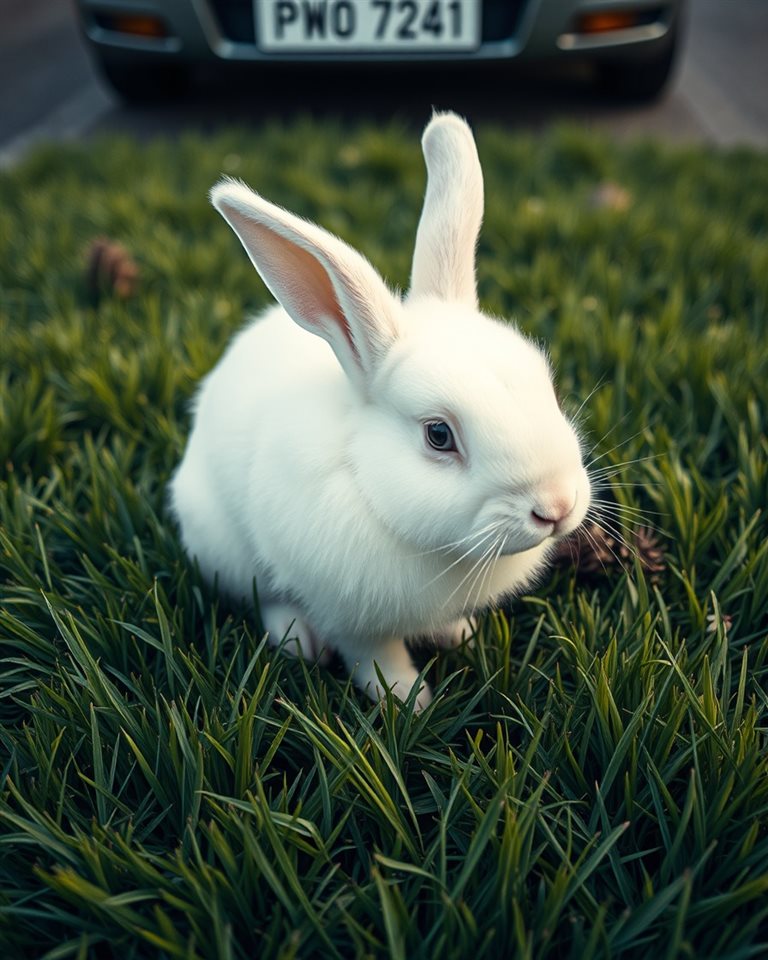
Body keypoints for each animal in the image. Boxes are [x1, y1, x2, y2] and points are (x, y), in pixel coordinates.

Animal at [169, 111, 591, 710]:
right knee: (261, 595)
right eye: (439, 435)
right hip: (222, 546)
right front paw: (408, 699)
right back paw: (296, 639)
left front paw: (459, 633)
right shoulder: (350, 615)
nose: (556, 508)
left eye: (546, 385)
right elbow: (374, 655)